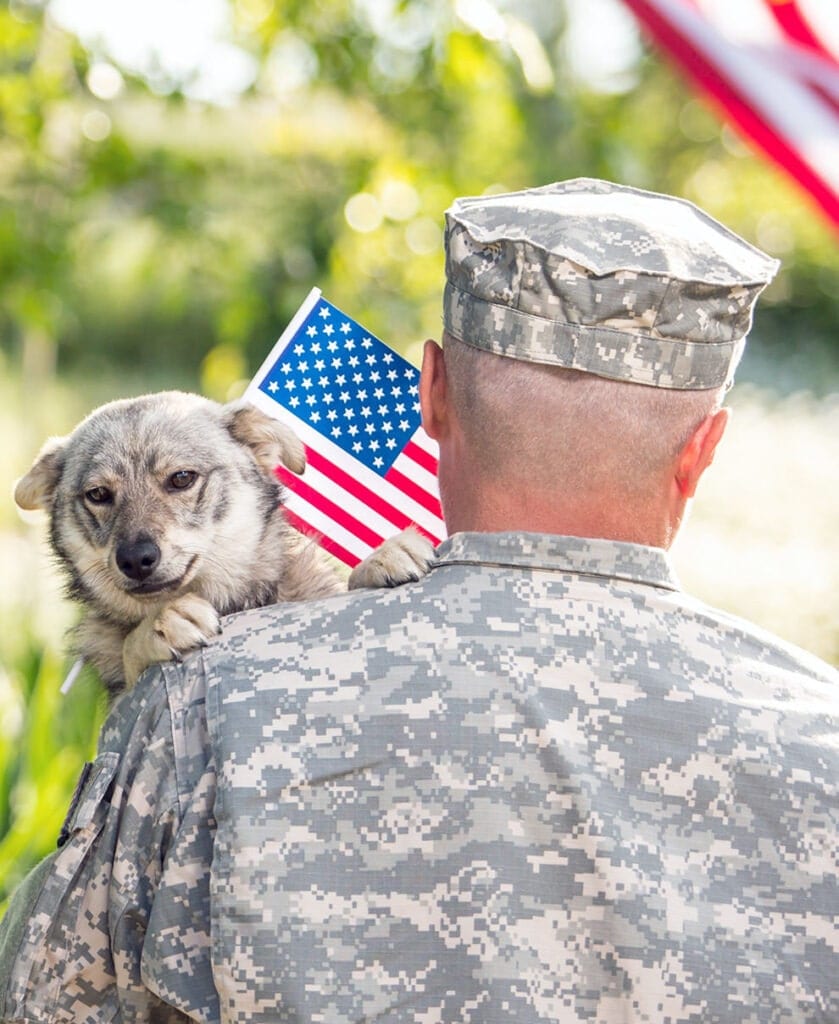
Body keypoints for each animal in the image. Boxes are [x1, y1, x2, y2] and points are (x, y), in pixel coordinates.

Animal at [16, 389, 436, 696]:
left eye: (181, 478)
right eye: (99, 494)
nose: (135, 559)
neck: (232, 603)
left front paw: (383, 557)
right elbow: (131, 651)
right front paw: (159, 626)